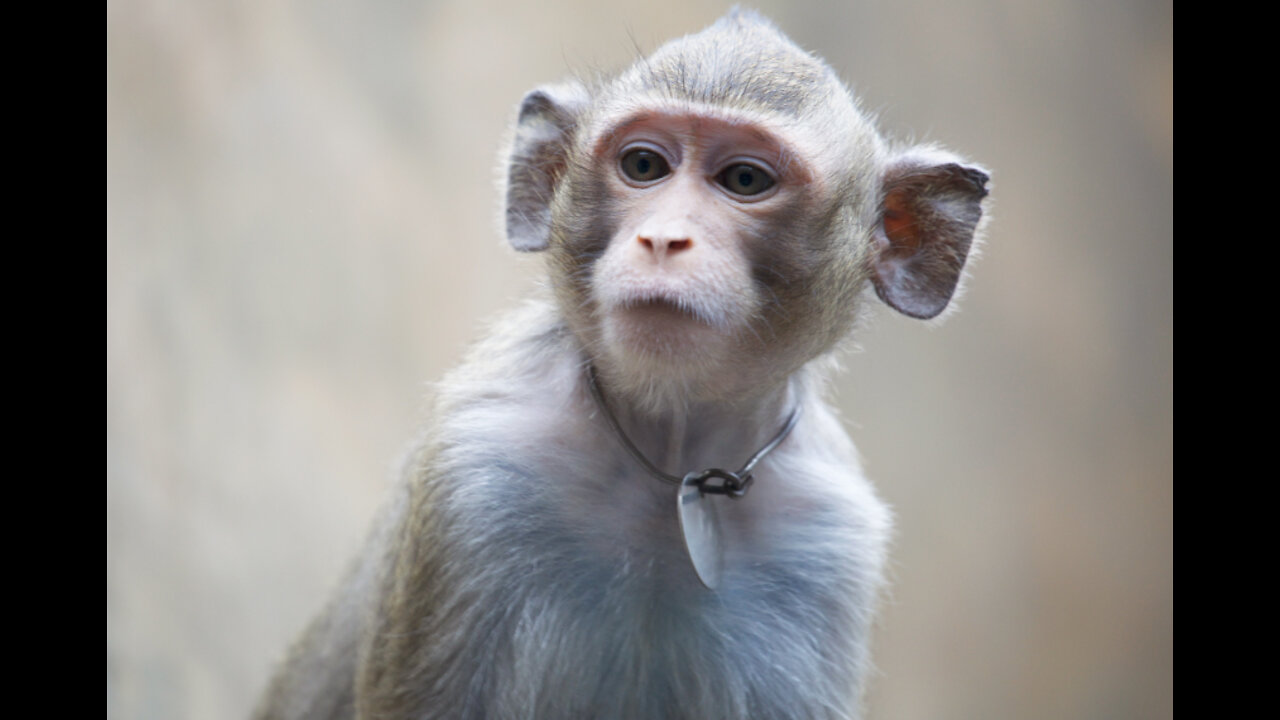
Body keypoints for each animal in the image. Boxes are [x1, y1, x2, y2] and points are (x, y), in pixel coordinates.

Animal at [252, 9, 988, 717]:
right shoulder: (476, 476)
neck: (672, 455)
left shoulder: (827, 552)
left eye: (745, 179)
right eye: (643, 166)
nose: (664, 238)